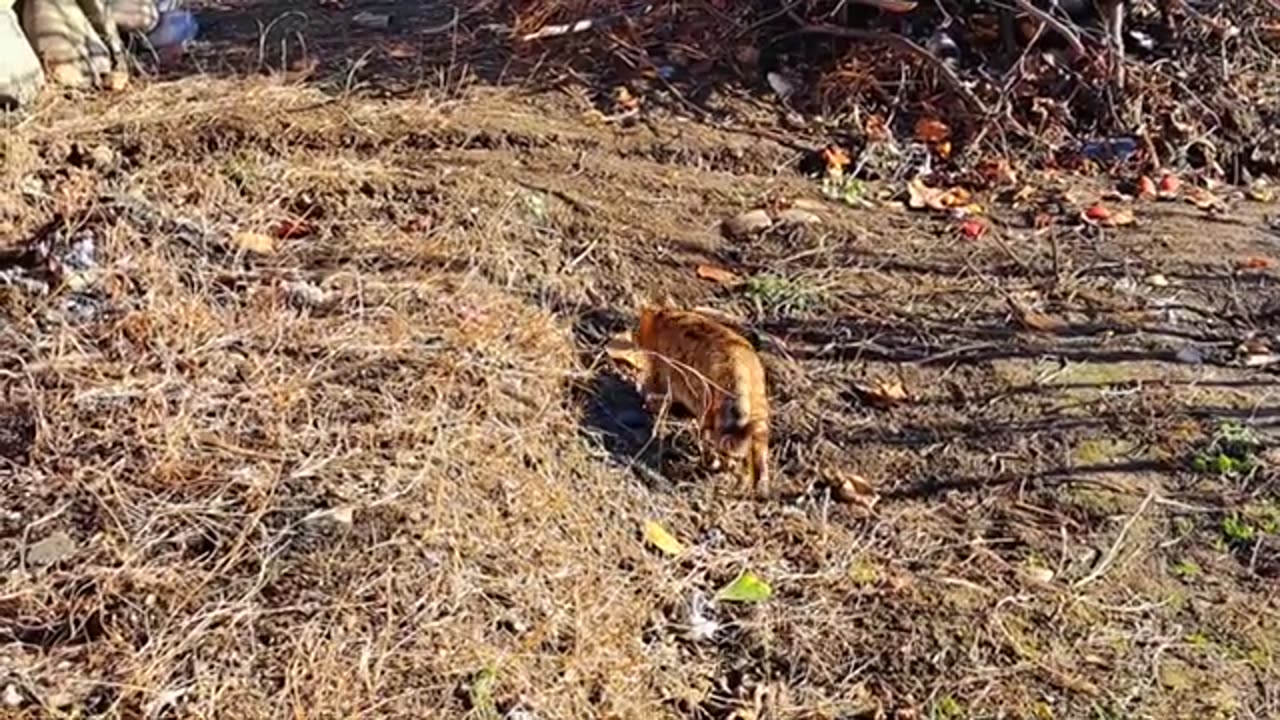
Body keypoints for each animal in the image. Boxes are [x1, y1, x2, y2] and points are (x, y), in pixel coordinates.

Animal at [629, 301, 768, 491]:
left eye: (638, 329)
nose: (634, 337)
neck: (668, 318)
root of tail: (742, 373)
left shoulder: (667, 376)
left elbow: (660, 395)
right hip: (758, 419)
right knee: (758, 456)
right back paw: (759, 486)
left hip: (711, 411)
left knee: (723, 454)